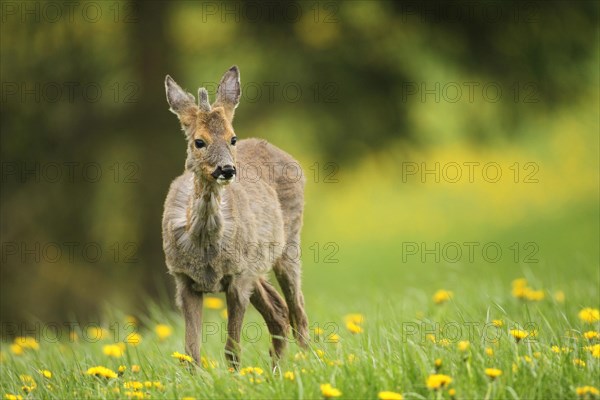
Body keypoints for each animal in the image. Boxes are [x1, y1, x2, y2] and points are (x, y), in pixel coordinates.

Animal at [161, 65, 308, 368]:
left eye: (232, 138)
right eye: (199, 141)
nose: (227, 169)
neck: (205, 248)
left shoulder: (238, 277)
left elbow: (231, 348)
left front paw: (236, 375)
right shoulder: (184, 280)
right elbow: (190, 352)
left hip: (288, 243)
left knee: (297, 308)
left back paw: (309, 362)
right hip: (256, 265)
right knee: (279, 312)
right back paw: (278, 368)